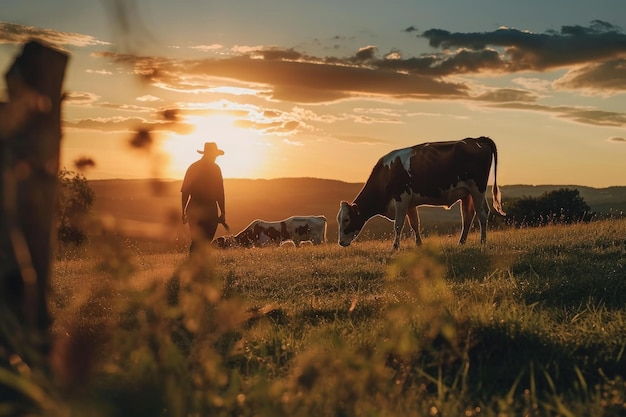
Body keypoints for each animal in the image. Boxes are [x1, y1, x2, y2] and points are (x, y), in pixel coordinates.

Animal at [336, 136, 502, 249]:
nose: (341, 242)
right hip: (467, 193)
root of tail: (476, 140)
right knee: (468, 217)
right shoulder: (410, 203)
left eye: (346, 219)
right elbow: (415, 223)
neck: (386, 173)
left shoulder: (401, 199)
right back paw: (461, 242)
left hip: (478, 188)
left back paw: (482, 241)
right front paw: (419, 244)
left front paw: (395, 247)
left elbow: (398, 224)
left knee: (482, 214)